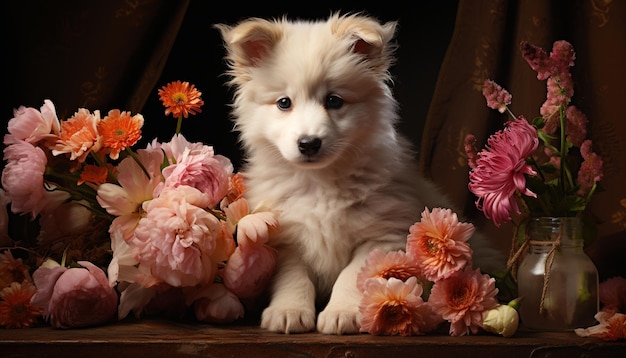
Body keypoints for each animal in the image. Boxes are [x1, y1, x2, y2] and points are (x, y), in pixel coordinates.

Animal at [214, 11, 498, 336]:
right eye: (284, 103)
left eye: (334, 101)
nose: (309, 143)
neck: (320, 181)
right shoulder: (285, 239)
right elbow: (293, 278)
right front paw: (289, 311)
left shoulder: (381, 236)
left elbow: (351, 277)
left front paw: (342, 312)